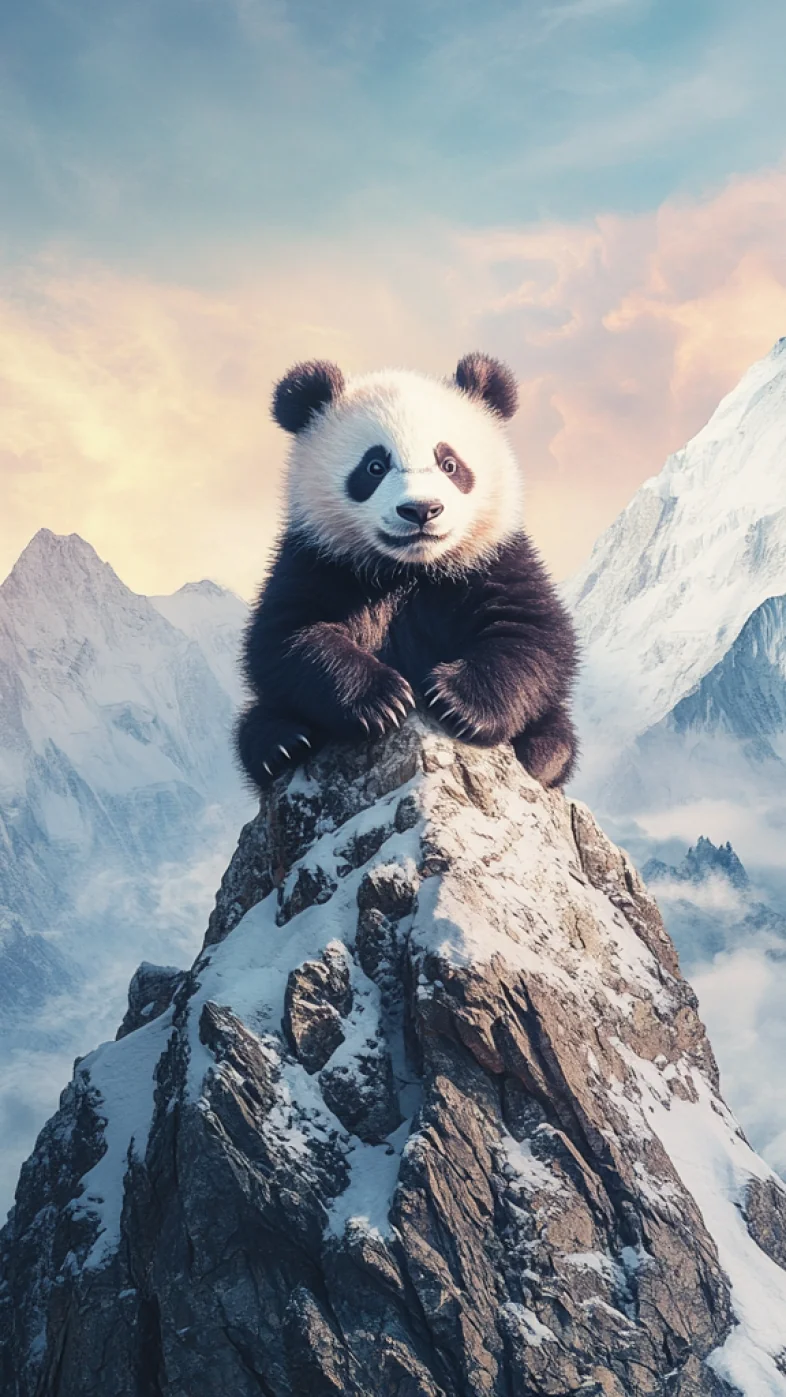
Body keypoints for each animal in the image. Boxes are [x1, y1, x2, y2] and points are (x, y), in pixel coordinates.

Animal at [237, 353, 578, 792]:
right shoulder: (317, 559)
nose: (421, 509)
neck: (409, 569)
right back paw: (284, 744)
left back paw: (541, 753)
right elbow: (288, 636)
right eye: (374, 466)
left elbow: (531, 633)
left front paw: (456, 702)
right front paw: (383, 700)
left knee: (557, 730)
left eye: (449, 464)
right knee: (256, 724)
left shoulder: (494, 557)